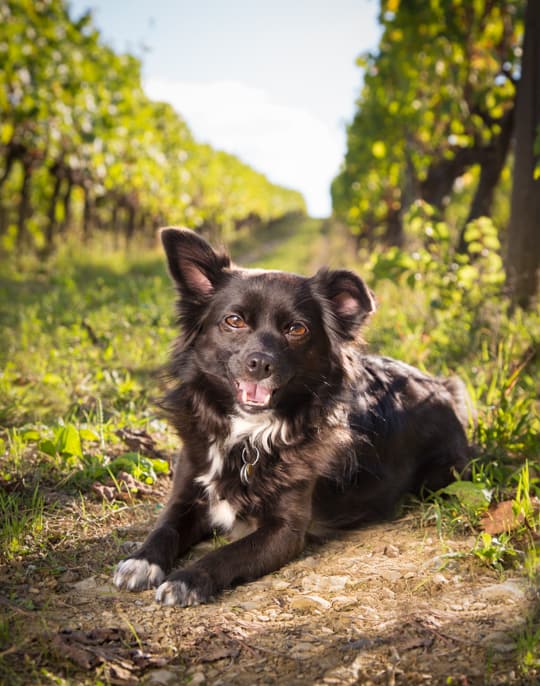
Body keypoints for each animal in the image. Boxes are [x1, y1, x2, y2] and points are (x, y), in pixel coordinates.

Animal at [114, 230, 472, 608]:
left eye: (296, 329)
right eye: (234, 321)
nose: (260, 363)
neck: (249, 436)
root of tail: (441, 386)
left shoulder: (284, 531)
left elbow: (226, 554)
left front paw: (186, 580)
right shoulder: (187, 490)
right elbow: (164, 527)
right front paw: (141, 560)